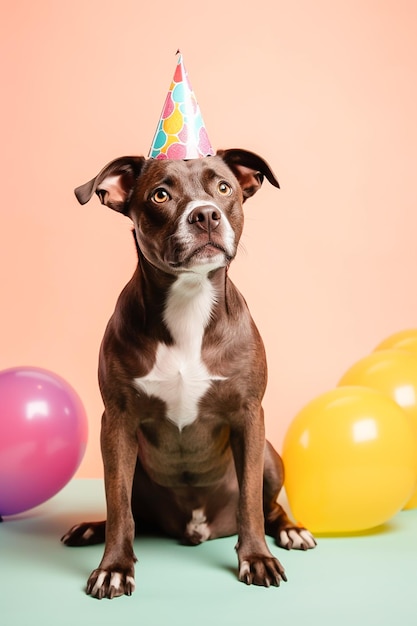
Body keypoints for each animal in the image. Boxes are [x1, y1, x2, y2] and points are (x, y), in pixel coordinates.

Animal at [61, 149, 316, 596]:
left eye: (224, 187)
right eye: (161, 194)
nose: (206, 214)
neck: (189, 302)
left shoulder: (249, 416)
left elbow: (250, 501)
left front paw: (257, 559)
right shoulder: (117, 422)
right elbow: (118, 503)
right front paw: (114, 567)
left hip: (270, 455)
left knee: (269, 506)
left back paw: (291, 530)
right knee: (128, 509)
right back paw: (92, 528)